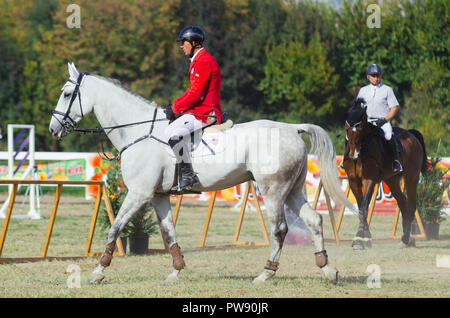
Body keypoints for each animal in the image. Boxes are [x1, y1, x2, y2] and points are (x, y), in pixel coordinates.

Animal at [49, 63, 356, 284]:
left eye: (66, 94)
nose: (53, 129)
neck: (139, 131)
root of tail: (292, 128)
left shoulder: (139, 194)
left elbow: (115, 227)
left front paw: (98, 271)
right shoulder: (158, 196)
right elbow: (168, 232)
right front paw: (176, 271)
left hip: (273, 192)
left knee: (280, 229)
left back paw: (265, 273)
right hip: (291, 191)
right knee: (314, 220)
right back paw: (328, 270)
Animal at [342, 98, 428, 250]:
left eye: (360, 128)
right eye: (347, 129)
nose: (353, 154)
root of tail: (411, 134)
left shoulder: (369, 180)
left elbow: (364, 208)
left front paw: (360, 239)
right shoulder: (353, 180)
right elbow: (361, 208)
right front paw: (365, 237)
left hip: (411, 177)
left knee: (411, 205)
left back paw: (406, 238)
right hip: (392, 180)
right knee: (403, 204)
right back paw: (406, 239)